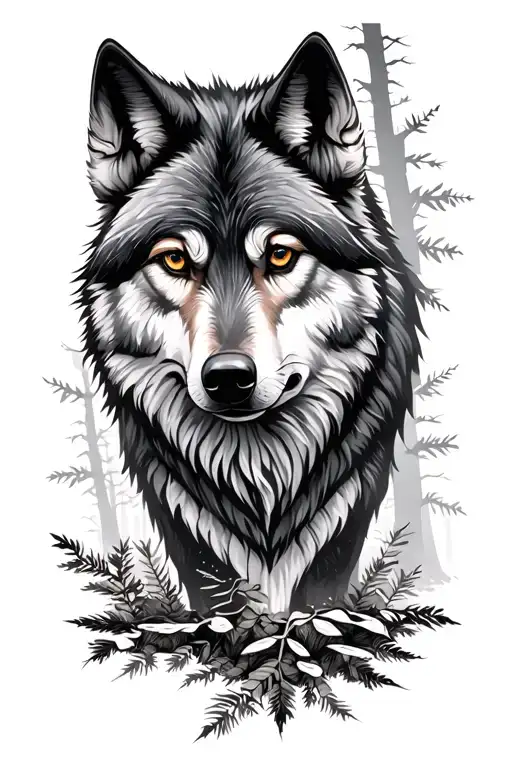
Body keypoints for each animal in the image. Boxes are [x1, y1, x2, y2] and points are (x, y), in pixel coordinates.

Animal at [79, 32, 420, 615]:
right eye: (175, 260)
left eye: (280, 255)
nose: (228, 378)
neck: (259, 482)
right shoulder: (188, 531)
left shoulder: (344, 519)